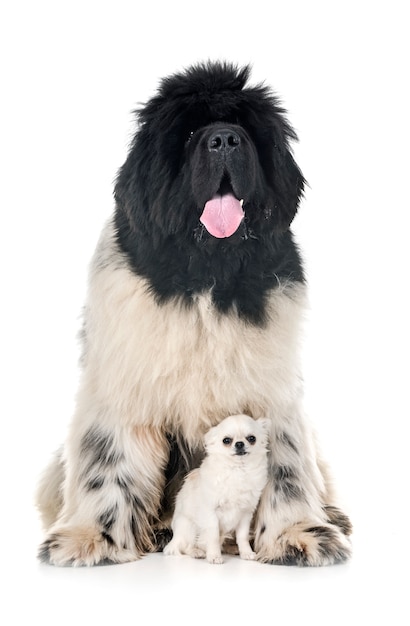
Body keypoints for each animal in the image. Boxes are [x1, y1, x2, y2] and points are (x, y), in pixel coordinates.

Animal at [163, 412, 270, 564]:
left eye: (251, 438)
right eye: (226, 440)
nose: (239, 443)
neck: (237, 471)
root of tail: (175, 538)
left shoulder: (245, 514)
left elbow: (242, 536)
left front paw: (246, 552)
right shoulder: (211, 513)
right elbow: (213, 536)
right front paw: (214, 555)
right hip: (189, 527)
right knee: (186, 546)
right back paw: (197, 552)